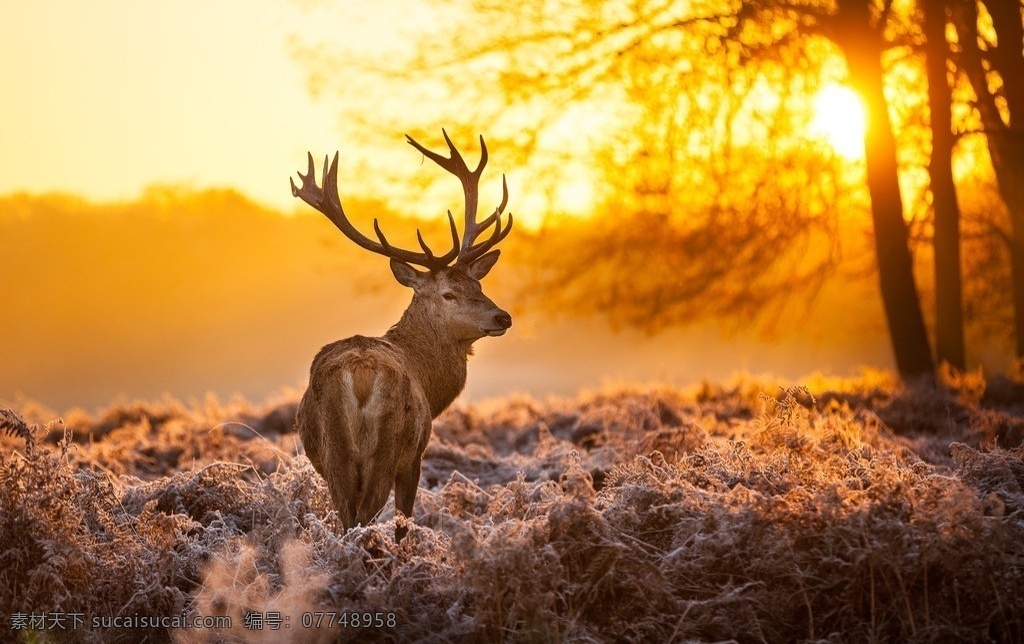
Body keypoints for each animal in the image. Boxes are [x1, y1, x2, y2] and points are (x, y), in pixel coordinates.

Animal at [288, 129, 512, 536]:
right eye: (449, 293)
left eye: (479, 285)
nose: (503, 317)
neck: (430, 382)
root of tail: (360, 375)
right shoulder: (415, 455)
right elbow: (404, 520)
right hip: (388, 447)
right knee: (365, 517)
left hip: (333, 454)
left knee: (347, 519)